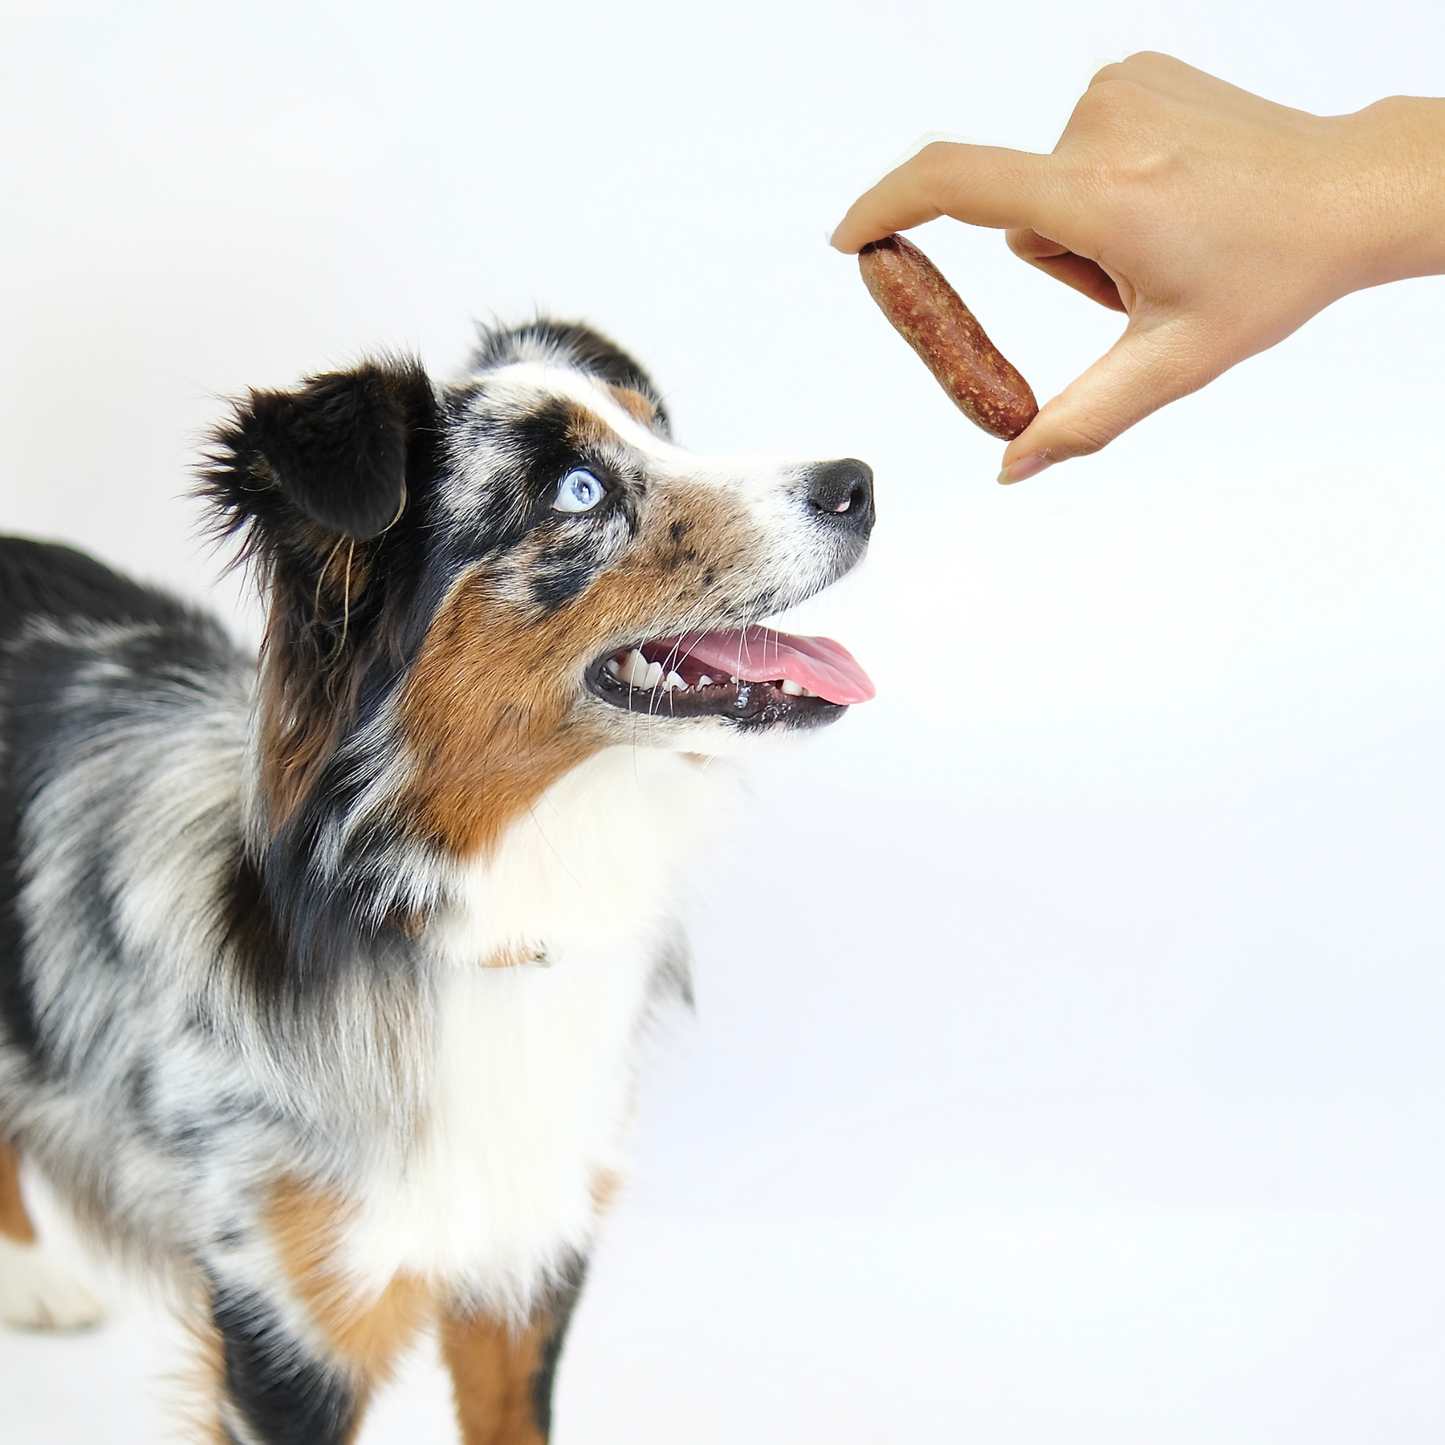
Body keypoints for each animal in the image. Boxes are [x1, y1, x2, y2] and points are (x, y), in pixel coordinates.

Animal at [0, 322, 872, 1439]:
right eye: (578, 490)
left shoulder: (526, 1258)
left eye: (658, 428)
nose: (856, 483)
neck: (459, 910)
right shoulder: (292, 1322)